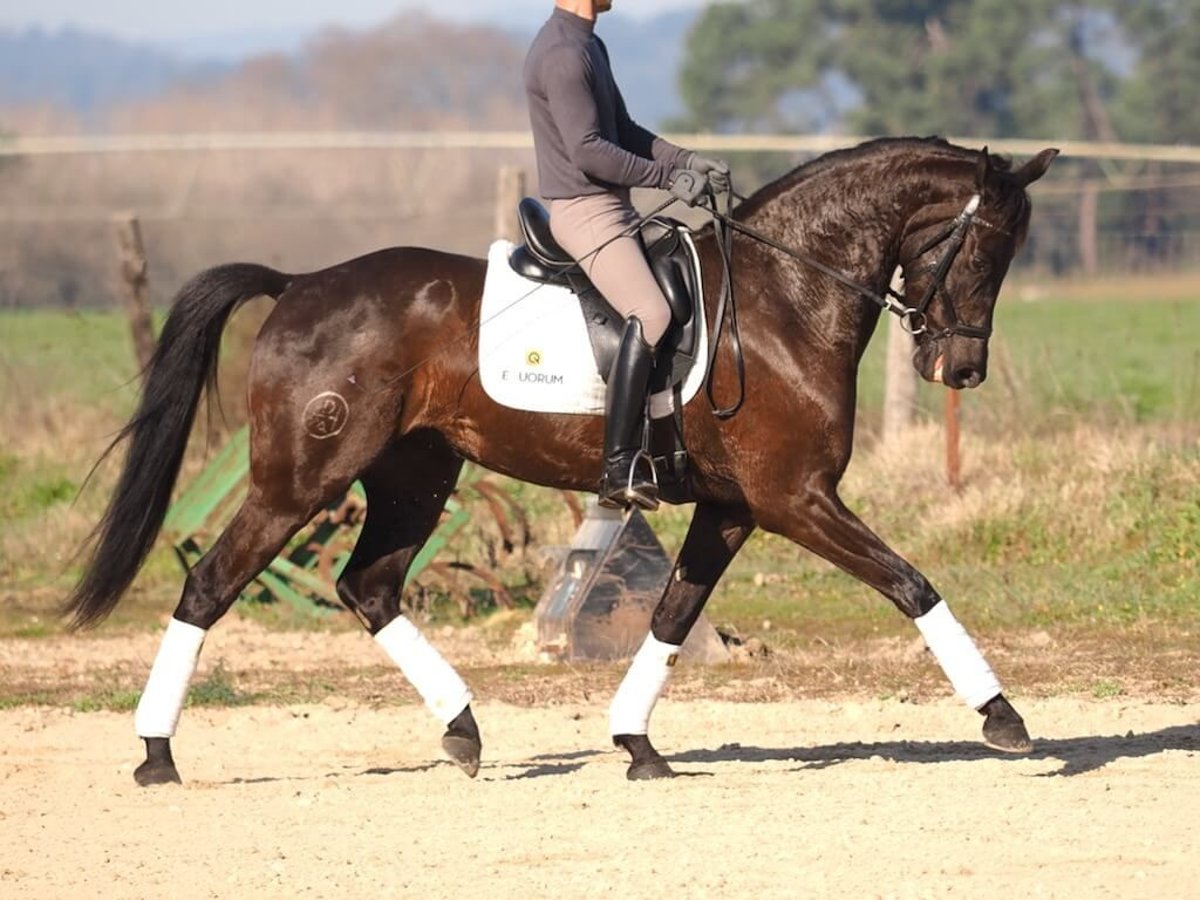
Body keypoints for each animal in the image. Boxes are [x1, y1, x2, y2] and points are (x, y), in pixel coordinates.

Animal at [70, 133, 1056, 782]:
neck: (784, 296)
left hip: (416, 474)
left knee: (369, 587)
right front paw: (1004, 719)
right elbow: (912, 584)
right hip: (300, 480)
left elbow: (671, 616)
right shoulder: (795, 498)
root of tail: (299, 284)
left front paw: (636, 744)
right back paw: (156, 755)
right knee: (211, 586)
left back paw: (464, 731)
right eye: (984, 250)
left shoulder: (733, 507)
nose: (960, 370)